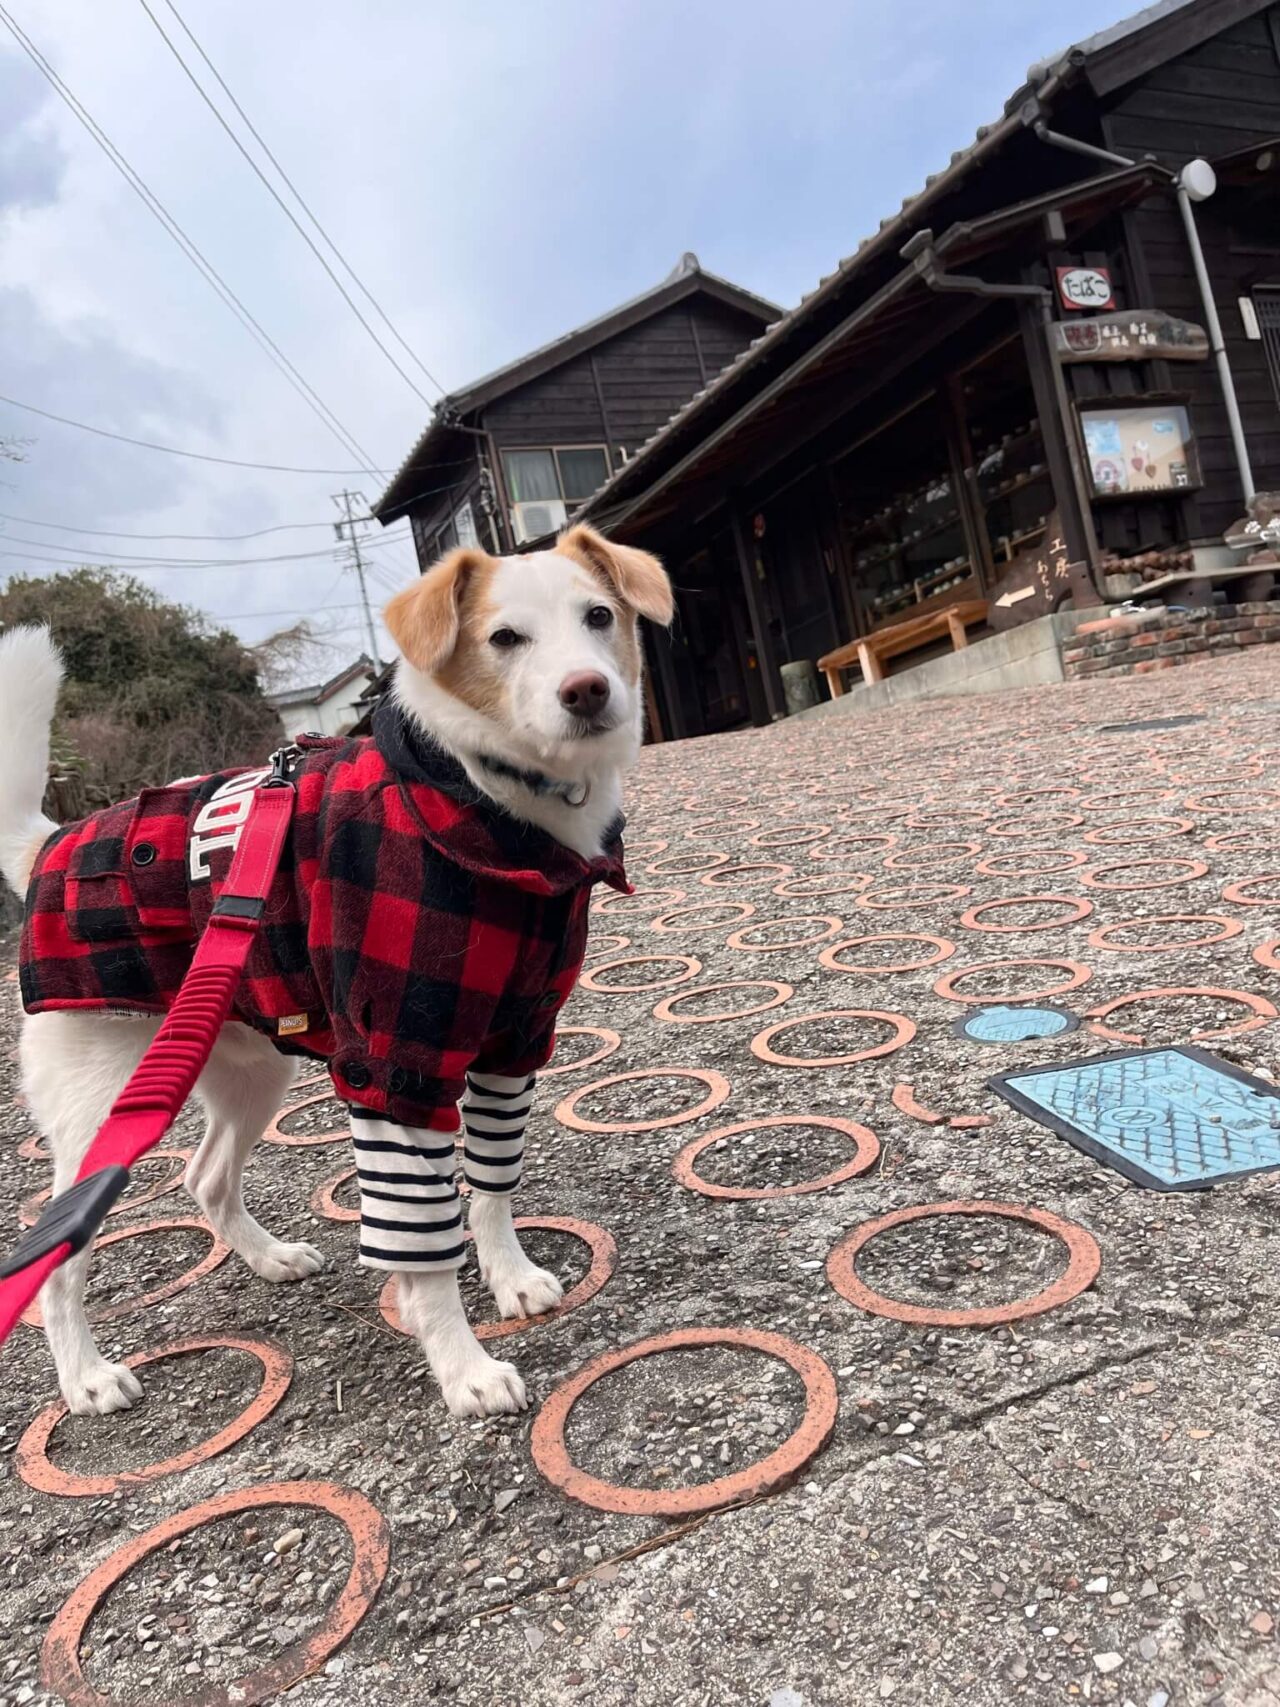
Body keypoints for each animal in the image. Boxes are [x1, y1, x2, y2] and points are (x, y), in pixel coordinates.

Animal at [0, 525, 675, 1420]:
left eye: (599, 615)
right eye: (503, 639)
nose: (588, 690)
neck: (487, 806)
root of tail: (47, 844)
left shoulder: (512, 1047)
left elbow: (491, 1185)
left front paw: (510, 1275)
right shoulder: (395, 1067)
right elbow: (422, 1252)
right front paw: (462, 1366)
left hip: (249, 1070)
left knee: (206, 1177)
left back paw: (268, 1258)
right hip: (100, 1108)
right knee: (55, 1252)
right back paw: (85, 1375)